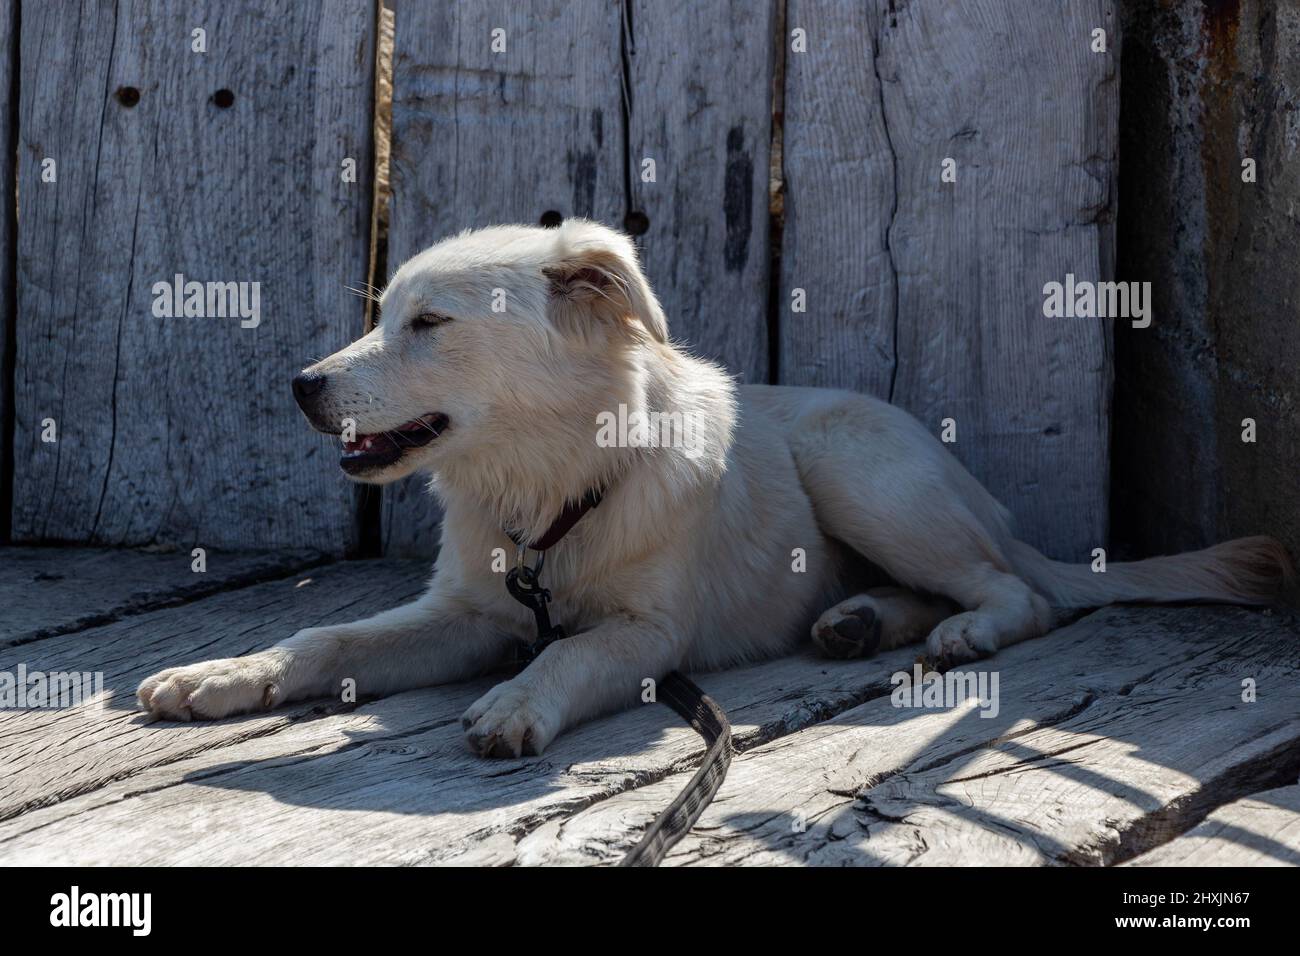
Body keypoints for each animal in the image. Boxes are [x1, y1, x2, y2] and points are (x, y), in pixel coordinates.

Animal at [137, 221, 1294, 759]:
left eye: (428, 324)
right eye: (385, 316)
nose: (300, 384)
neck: (553, 495)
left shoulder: (650, 635)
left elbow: (570, 648)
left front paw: (517, 699)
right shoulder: (463, 611)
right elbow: (325, 639)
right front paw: (226, 673)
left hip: (854, 465)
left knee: (1025, 592)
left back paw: (959, 630)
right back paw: (859, 620)